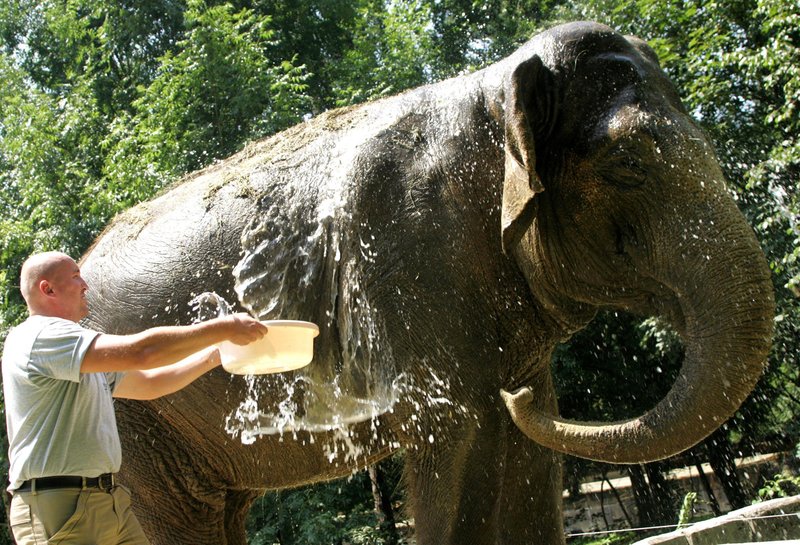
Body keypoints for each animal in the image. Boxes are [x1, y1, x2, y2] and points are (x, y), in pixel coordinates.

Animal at [79, 20, 776, 544]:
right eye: (628, 166)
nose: (518, 395)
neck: (492, 89)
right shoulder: (412, 264)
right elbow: (460, 434)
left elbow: (531, 454)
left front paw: (523, 403)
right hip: (132, 420)